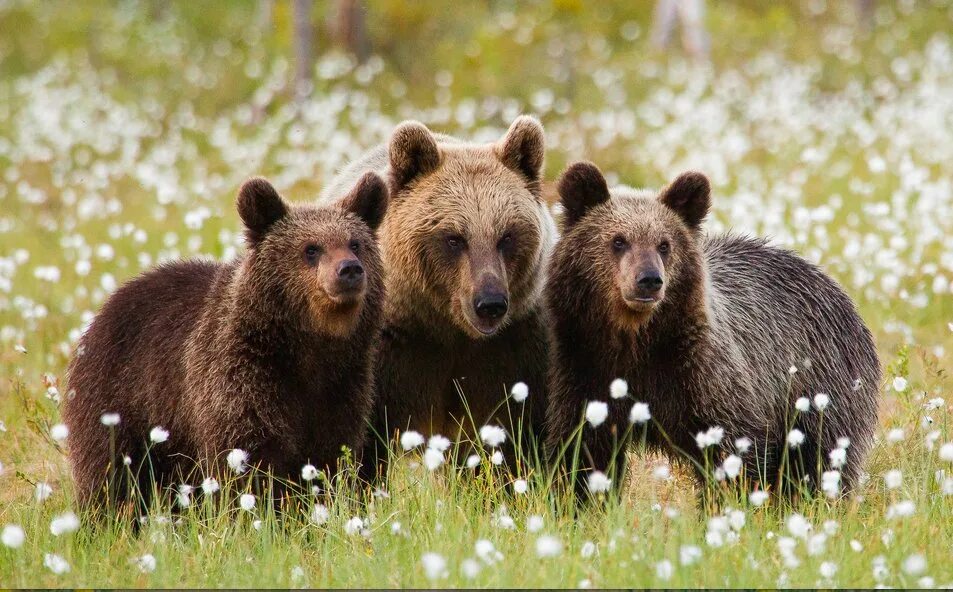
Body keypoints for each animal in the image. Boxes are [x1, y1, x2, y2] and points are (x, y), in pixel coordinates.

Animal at [62, 172, 386, 508]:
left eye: (355, 243)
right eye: (311, 248)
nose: (349, 269)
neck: (307, 347)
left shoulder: (342, 388)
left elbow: (333, 454)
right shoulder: (241, 380)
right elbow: (246, 457)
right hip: (121, 399)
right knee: (111, 473)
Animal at [324, 118, 556, 474]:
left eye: (506, 236)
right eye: (454, 238)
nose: (490, 304)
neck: (448, 329)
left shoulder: (515, 350)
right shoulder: (388, 353)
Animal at [544, 162, 876, 500]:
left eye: (664, 244)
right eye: (618, 240)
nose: (649, 280)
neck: (636, 340)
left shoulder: (702, 375)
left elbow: (733, 447)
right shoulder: (586, 370)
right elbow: (582, 452)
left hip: (819, 386)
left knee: (821, 458)